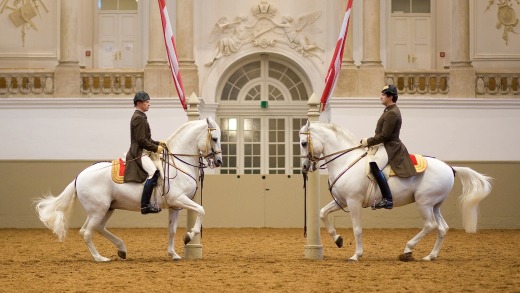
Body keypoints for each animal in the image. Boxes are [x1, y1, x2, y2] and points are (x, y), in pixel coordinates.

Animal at [34, 117, 221, 262]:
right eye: (215, 138)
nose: (219, 161)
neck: (178, 164)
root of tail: (79, 177)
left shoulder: (175, 206)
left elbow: (172, 230)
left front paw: (173, 254)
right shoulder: (179, 199)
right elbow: (201, 210)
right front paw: (190, 235)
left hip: (106, 208)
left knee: (95, 228)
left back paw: (121, 249)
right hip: (98, 209)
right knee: (87, 232)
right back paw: (100, 258)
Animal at [298, 121, 494, 260]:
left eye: (303, 143)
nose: (305, 167)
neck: (345, 161)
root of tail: (450, 167)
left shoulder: (354, 202)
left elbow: (357, 228)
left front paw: (356, 255)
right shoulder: (342, 201)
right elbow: (322, 213)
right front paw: (338, 239)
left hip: (424, 203)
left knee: (430, 225)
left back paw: (408, 250)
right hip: (435, 205)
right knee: (442, 228)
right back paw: (430, 256)